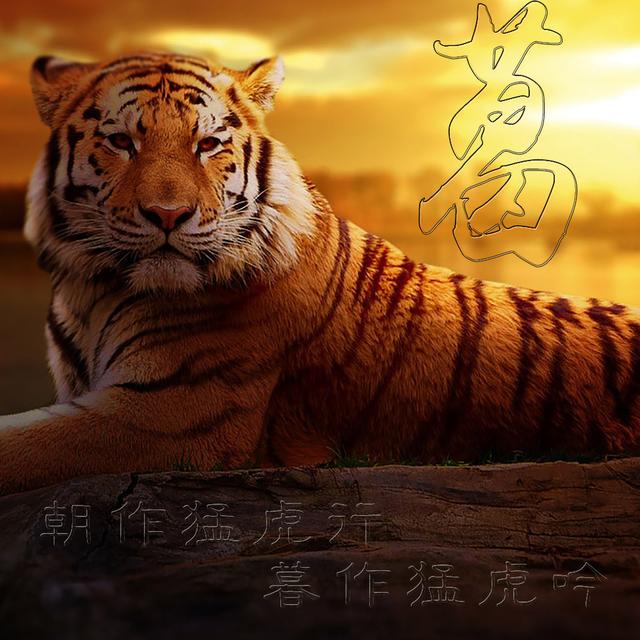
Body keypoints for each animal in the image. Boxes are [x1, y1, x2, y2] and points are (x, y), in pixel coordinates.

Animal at [0, 51, 639, 496]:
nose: (168, 215)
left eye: (207, 144)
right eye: (120, 141)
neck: (92, 289)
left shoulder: (168, 413)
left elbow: (22, 443)